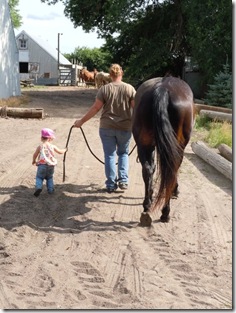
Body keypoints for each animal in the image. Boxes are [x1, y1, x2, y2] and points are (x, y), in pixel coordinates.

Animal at [133, 76, 195, 227]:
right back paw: (165, 213)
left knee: (148, 169)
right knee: (171, 171)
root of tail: (163, 89)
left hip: (144, 144)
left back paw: (147, 205)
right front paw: (175, 190)